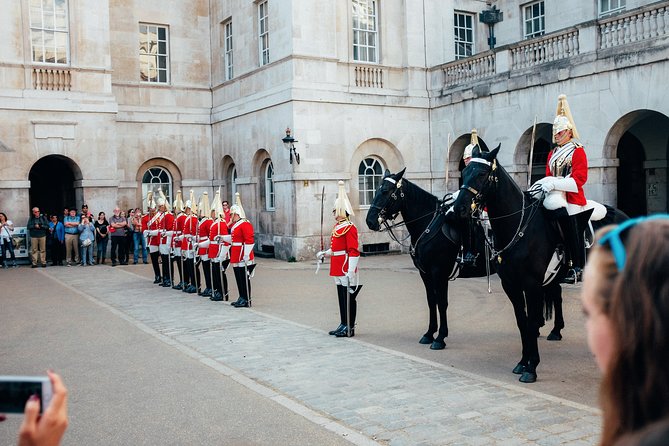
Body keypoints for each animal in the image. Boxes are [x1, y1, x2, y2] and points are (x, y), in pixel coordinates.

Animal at [454, 146, 628, 384]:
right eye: (464, 172)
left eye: (481, 173)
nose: (458, 207)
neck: (519, 226)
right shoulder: (512, 285)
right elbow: (522, 321)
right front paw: (522, 362)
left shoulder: (532, 285)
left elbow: (530, 322)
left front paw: (532, 368)